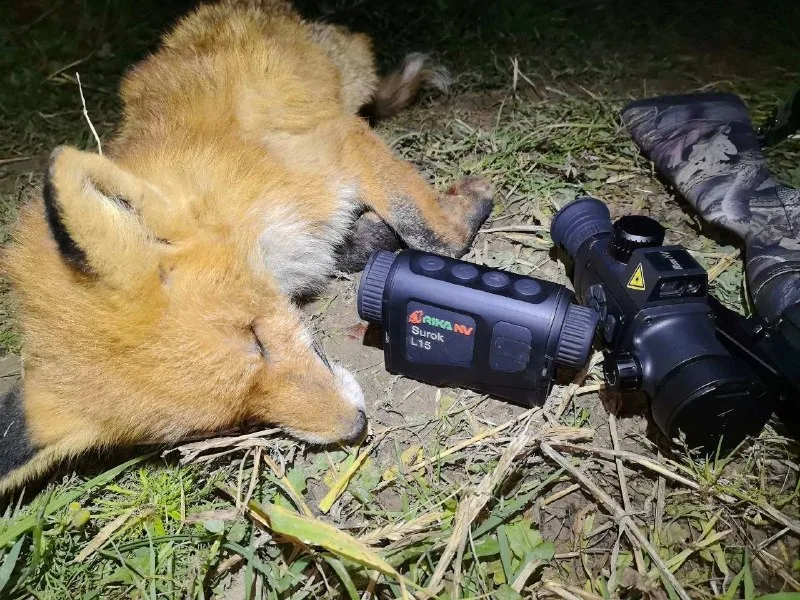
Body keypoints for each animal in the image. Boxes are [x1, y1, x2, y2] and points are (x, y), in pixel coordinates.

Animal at [0, 0, 493, 494]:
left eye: (255, 336)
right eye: (232, 422)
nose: (356, 426)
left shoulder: (337, 141)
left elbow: (429, 231)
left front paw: (463, 209)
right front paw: (372, 239)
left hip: (347, 73)